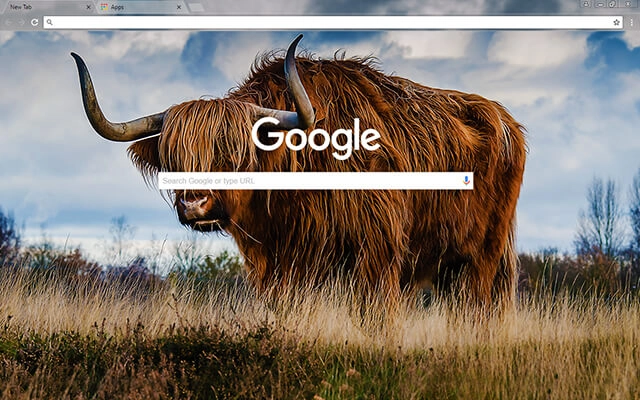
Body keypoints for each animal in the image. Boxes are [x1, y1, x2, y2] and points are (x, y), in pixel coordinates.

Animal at [71, 34, 526, 312]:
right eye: (173, 157)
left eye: (234, 153)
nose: (194, 204)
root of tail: (505, 119)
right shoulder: (278, 265)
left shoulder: (377, 254)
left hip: (483, 256)